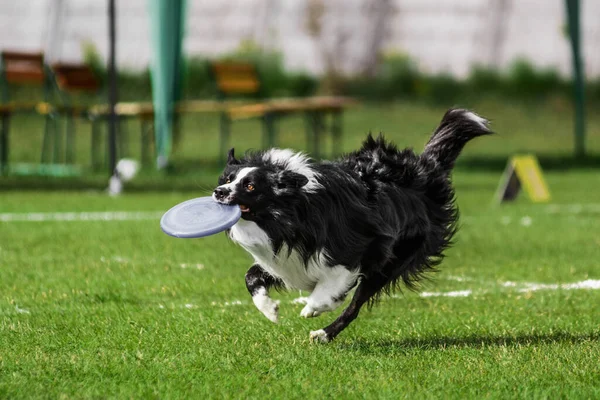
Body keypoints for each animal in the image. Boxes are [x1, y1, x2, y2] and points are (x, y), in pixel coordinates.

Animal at [213, 108, 490, 342]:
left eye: (250, 186)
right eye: (227, 179)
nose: (218, 192)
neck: (293, 209)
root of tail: (425, 171)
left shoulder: (364, 245)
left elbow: (334, 283)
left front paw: (315, 305)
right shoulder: (286, 257)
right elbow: (251, 276)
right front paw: (270, 310)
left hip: (393, 260)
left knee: (356, 304)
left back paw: (324, 333)